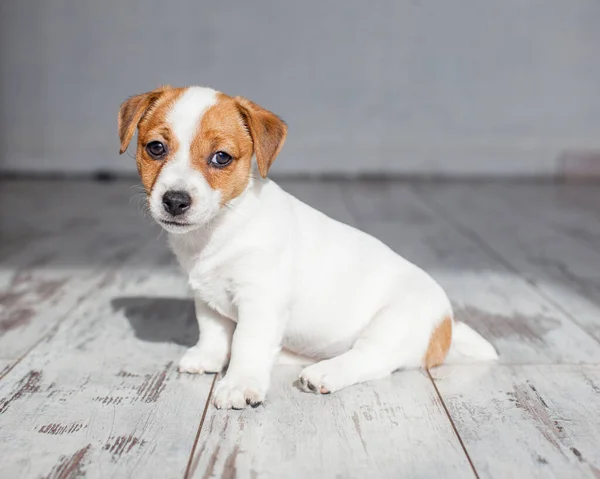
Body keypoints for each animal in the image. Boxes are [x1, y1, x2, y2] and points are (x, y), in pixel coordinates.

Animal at [118, 85, 496, 408]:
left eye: (221, 157)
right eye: (155, 148)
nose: (175, 200)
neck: (221, 229)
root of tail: (447, 324)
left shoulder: (261, 302)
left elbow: (247, 344)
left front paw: (240, 384)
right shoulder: (207, 298)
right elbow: (212, 331)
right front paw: (208, 357)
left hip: (394, 323)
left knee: (371, 359)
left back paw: (324, 373)